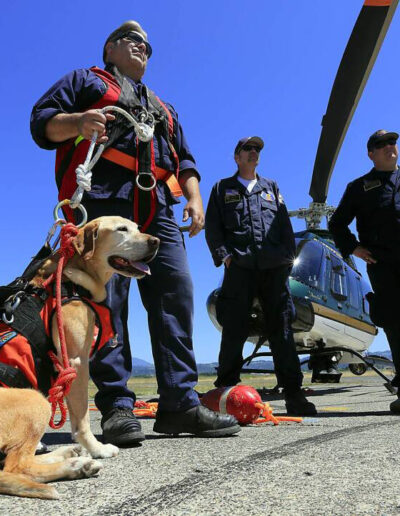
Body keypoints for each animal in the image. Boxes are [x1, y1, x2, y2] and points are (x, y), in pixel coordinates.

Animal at [0, 216, 159, 498]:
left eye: (138, 227)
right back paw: (76, 465)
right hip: (35, 399)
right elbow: (82, 419)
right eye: (121, 230)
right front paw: (97, 449)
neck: (71, 279)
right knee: (15, 466)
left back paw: (68, 455)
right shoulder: (75, 362)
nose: (156, 242)